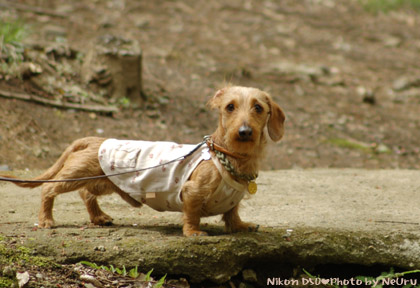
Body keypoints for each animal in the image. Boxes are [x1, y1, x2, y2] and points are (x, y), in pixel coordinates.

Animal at [4, 87, 286, 236]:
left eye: (258, 108)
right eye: (230, 107)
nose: (244, 131)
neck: (228, 156)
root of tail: (93, 139)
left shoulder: (232, 200)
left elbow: (232, 213)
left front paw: (241, 225)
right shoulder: (191, 191)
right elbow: (192, 214)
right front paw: (193, 232)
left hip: (101, 182)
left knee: (86, 194)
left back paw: (99, 217)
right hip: (76, 175)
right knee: (49, 189)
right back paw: (46, 220)